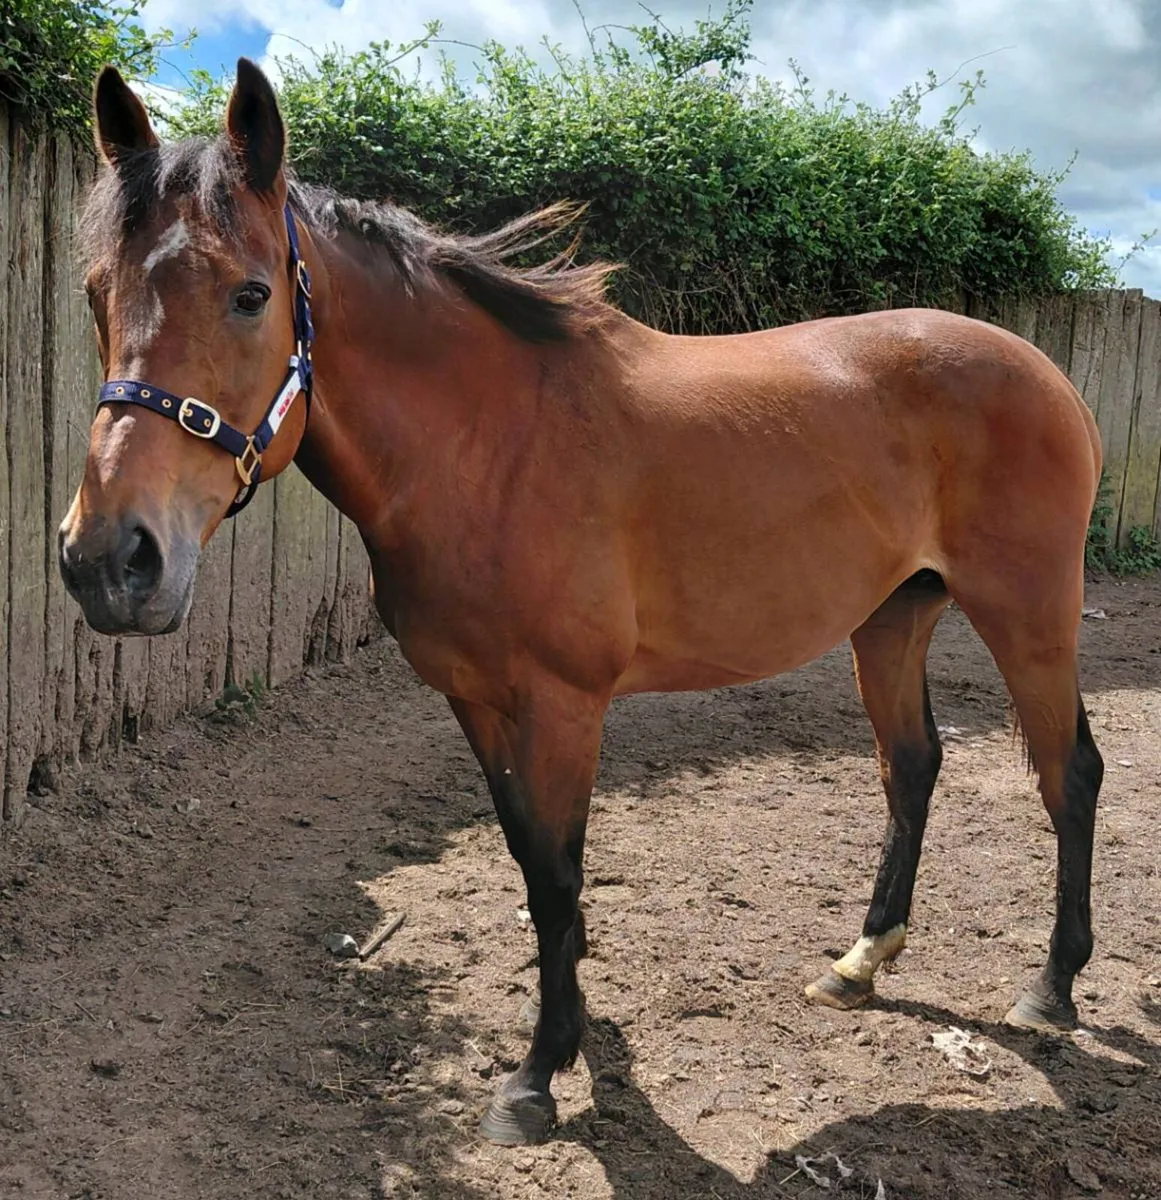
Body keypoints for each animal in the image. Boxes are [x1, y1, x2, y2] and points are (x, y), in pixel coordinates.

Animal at [60, 59, 1105, 1146]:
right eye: (98, 294)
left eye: (250, 295)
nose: (109, 560)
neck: (492, 443)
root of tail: (1049, 377)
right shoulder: (475, 701)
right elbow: (530, 861)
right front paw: (576, 1032)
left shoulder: (564, 703)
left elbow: (559, 873)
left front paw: (537, 1074)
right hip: (893, 619)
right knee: (912, 769)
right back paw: (861, 963)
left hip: (1028, 614)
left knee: (1067, 773)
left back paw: (1051, 988)